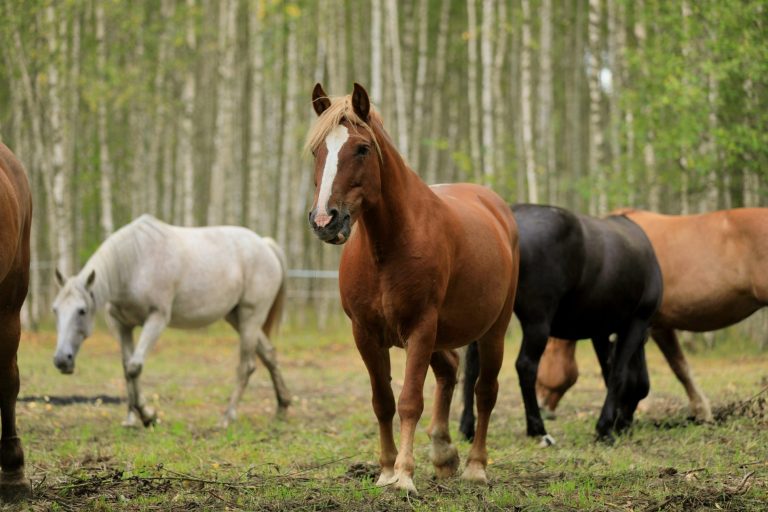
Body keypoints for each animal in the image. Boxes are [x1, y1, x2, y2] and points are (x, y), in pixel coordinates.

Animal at [52, 215, 291, 428]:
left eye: (82, 311)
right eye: (55, 310)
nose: (62, 360)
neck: (133, 263)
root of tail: (265, 245)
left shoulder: (157, 318)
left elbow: (134, 367)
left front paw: (148, 415)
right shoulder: (121, 325)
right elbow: (126, 368)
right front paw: (131, 418)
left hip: (251, 316)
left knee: (246, 365)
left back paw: (226, 418)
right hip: (236, 317)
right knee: (269, 354)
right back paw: (282, 407)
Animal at [306, 83, 519, 493]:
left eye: (362, 148)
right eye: (317, 150)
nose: (326, 220)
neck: (388, 246)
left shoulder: (420, 328)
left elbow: (409, 401)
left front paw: (404, 475)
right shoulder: (366, 334)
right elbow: (383, 401)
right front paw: (387, 469)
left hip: (493, 331)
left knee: (485, 391)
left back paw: (475, 466)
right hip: (440, 336)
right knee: (449, 371)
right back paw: (443, 453)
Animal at [459, 204, 663, 444]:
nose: (626, 424)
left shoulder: (600, 332)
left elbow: (608, 371)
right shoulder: (636, 322)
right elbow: (618, 374)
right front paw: (604, 428)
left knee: (473, 365)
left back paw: (467, 427)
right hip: (538, 322)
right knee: (526, 366)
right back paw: (538, 428)